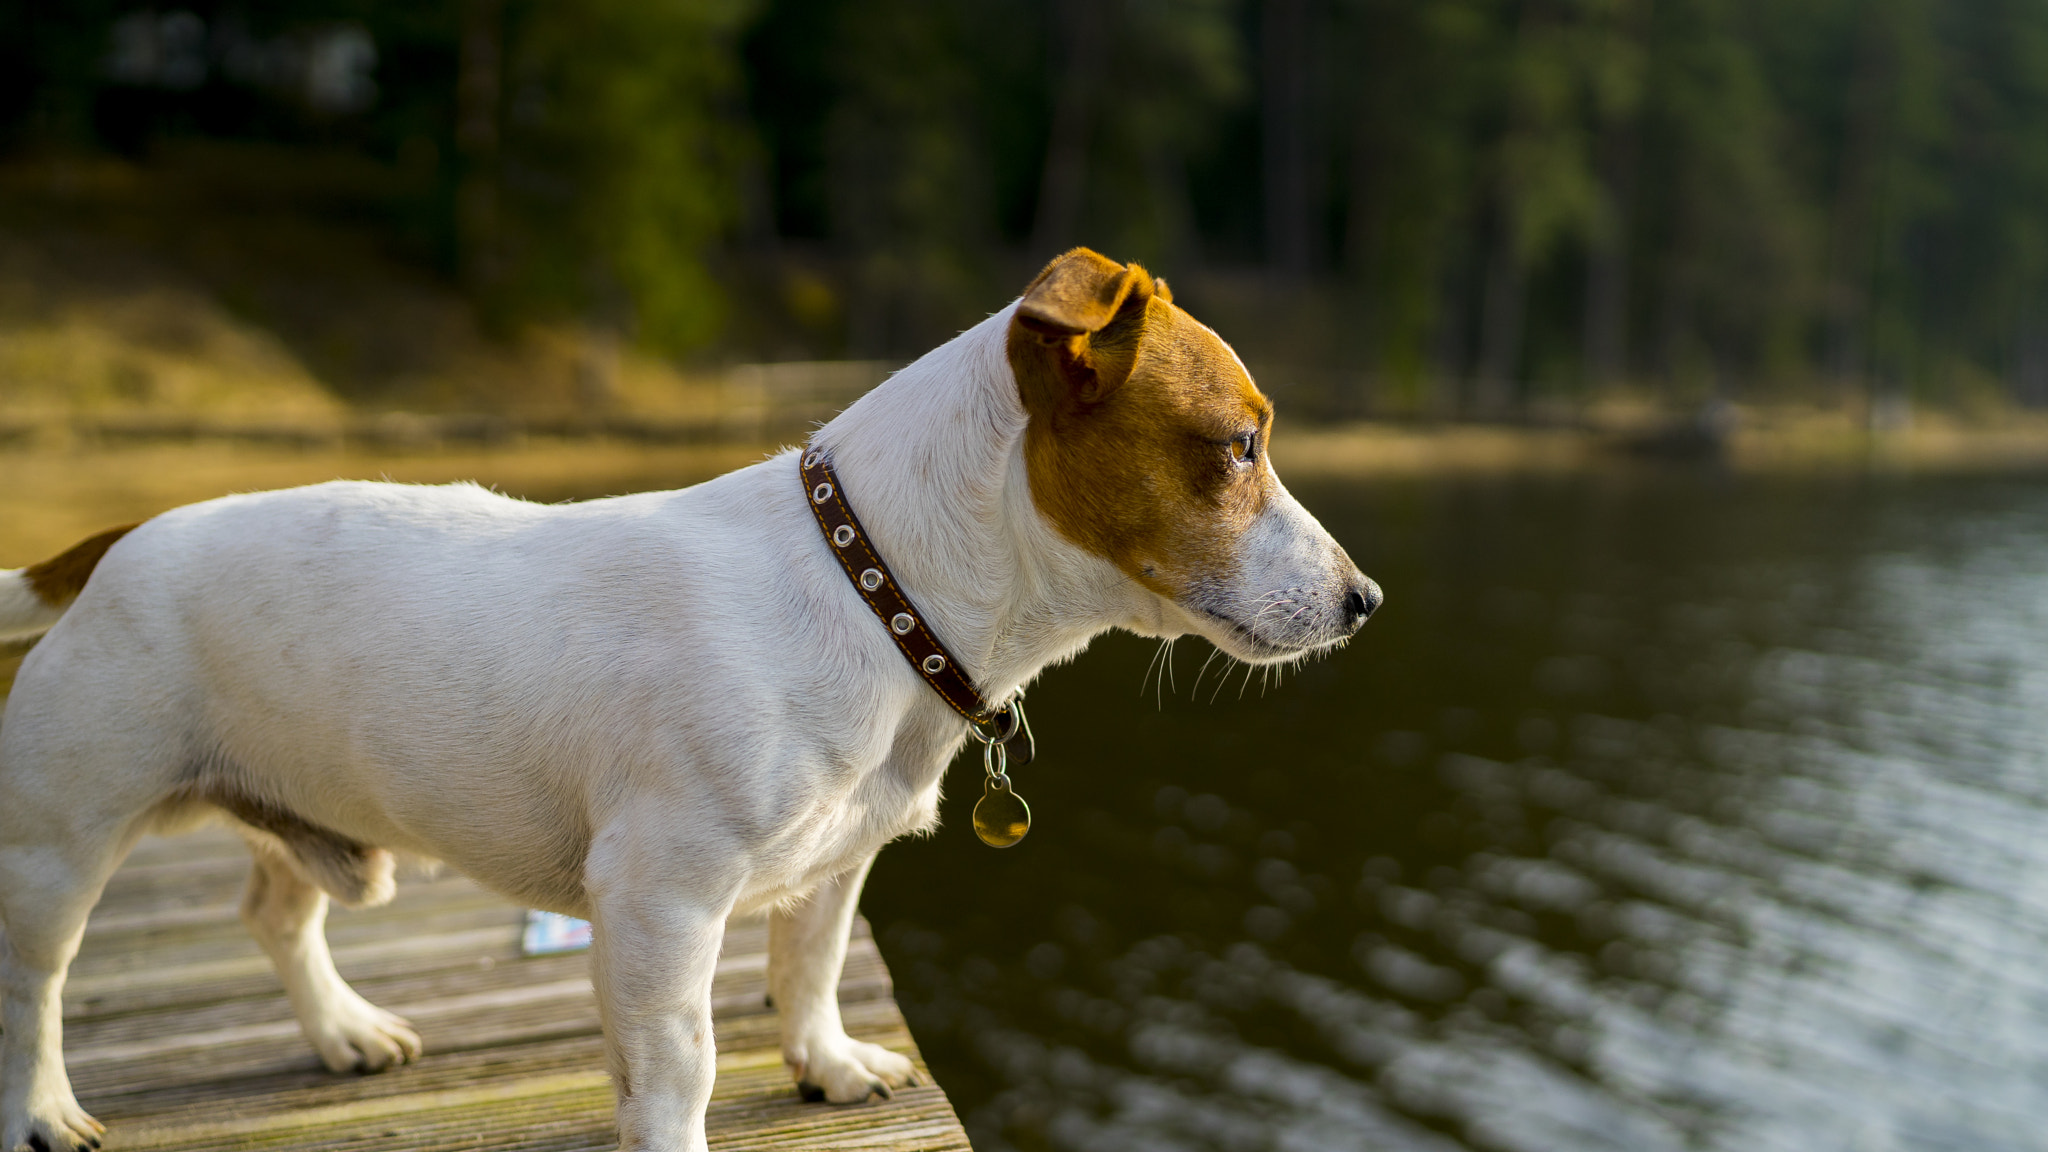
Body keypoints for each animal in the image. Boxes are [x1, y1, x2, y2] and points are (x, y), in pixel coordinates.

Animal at [0, 249, 1384, 1147]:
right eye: (1239, 447)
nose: (1367, 600)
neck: (869, 585)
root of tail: (115, 541)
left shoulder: (836, 861)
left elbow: (808, 967)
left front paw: (825, 1064)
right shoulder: (659, 899)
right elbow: (681, 1067)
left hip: (312, 809)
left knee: (277, 911)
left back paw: (343, 1029)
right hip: (59, 846)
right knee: (38, 986)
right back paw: (44, 1110)